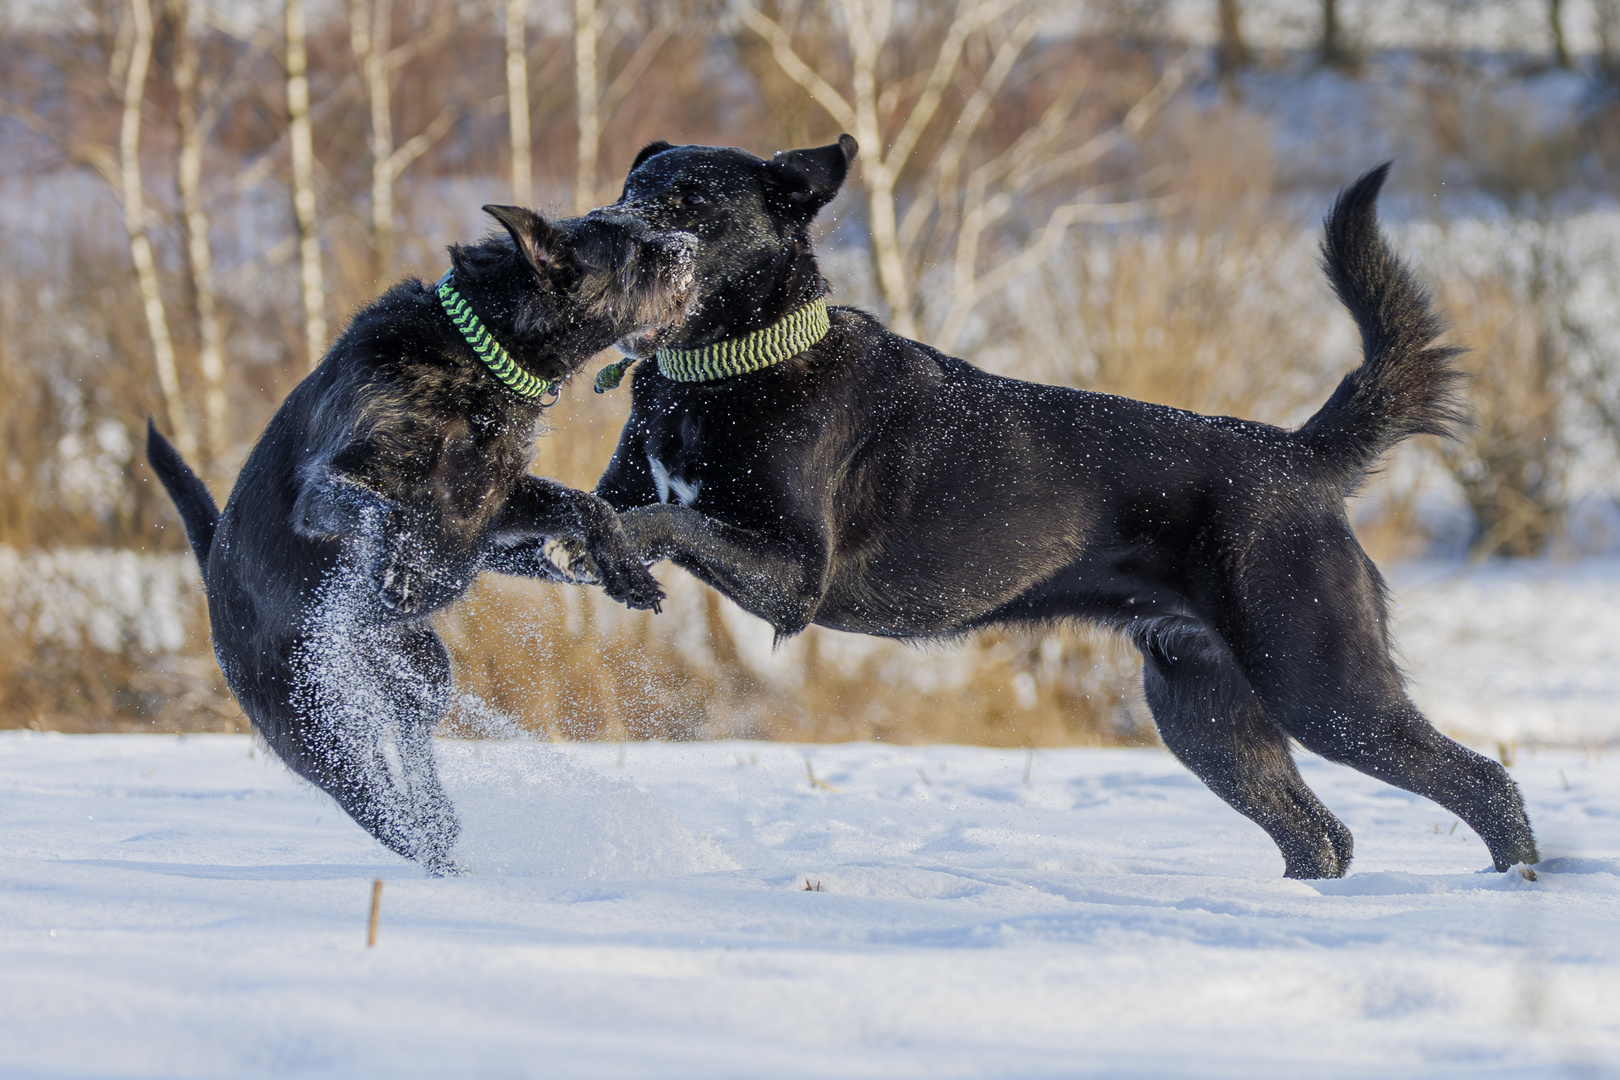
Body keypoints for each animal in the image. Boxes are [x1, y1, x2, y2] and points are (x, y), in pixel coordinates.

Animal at [153, 207, 703, 874]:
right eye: (631, 250)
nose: (691, 244)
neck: (476, 358)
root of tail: (211, 577)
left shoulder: (493, 503)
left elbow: (585, 506)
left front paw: (621, 571)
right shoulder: (334, 483)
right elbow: (391, 511)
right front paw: (404, 572)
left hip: (422, 670)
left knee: (414, 743)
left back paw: (442, 819)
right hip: (319, 732)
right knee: (388, 814)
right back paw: (439, 858)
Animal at [599, 141, 1542, 880]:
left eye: (690, 201)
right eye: (627, 187)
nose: (607, 231)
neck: (717, 375)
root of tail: (1297, 455)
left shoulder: (795, 576)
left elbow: (668, 521)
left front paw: (616, 551)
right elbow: (604, 508)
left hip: (1320, 681)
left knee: (1483, 783)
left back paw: (1515, 890)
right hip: (1206, 712)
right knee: (1322, 836)